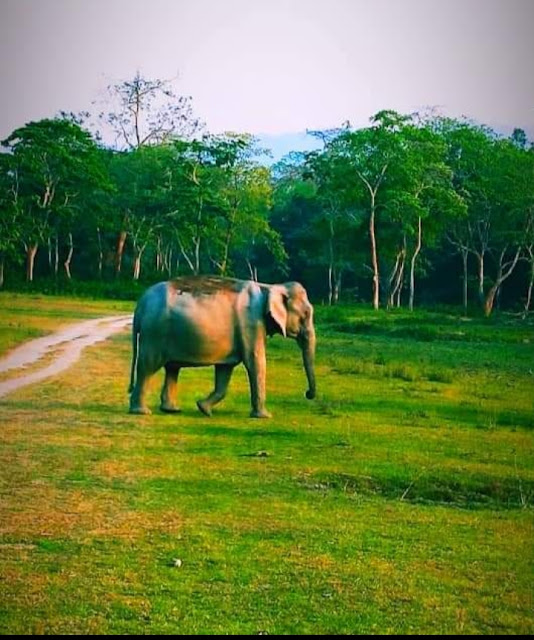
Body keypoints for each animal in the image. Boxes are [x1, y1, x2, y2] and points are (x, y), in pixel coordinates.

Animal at [127, 276, 316, 420]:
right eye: (306, 314)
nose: (307, 393)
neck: (269, 287)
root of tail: (141, 303)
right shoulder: (251, 324)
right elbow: (255, 362)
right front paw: (265, 416)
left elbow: (225, 370)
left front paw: (203, 408)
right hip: (154, 333)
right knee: (148, 367)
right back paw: (141, 412)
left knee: (172, 368)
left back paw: (171, 410)